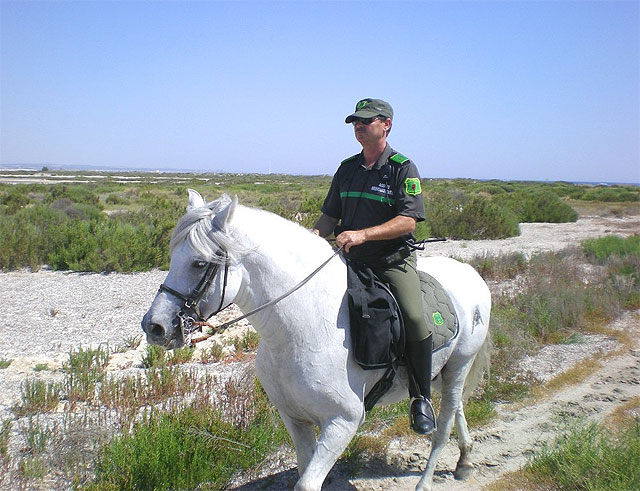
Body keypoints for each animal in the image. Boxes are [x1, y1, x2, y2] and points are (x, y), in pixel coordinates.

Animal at [141, 191, 491, 491]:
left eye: (200, 263)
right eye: (173, 256)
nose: (154, 326)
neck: (304, 328)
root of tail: (472, 275)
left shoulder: (343, 422)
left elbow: (307, 482)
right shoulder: (294, 418)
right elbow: (304, 469)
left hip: (459, 364)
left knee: (444, 422)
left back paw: (428, 478)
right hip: (442, 372)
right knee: (456, 408)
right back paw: (465, 461)